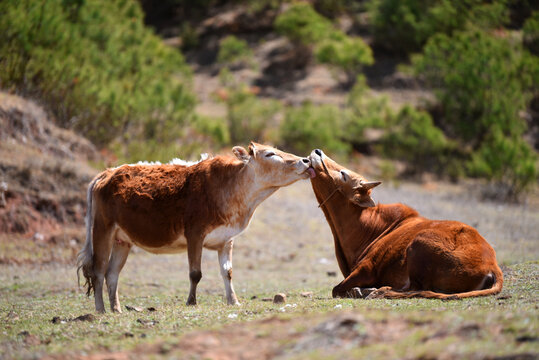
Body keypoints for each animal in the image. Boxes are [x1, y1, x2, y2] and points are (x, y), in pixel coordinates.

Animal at [77, 143, 314, 312]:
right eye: (270, 154)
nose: (305, 160)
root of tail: (107, 173)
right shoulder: (194, 234)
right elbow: (195, 273)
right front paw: (191, 301)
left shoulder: (226, 239)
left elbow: (227, 272)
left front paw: (233, 301)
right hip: (102, 230)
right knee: (98, 271)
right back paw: (100, 310)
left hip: (122, 240)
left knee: (112, 274)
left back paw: (116, 309)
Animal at [310, 148, 504, 300]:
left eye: (343, 174)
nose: (317, 152)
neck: (370, 227)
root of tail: (492, 265)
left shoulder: (366, 269)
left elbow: (336, 289)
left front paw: (359, 291)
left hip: (418, 246)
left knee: (416, 289)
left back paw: (377, 292)